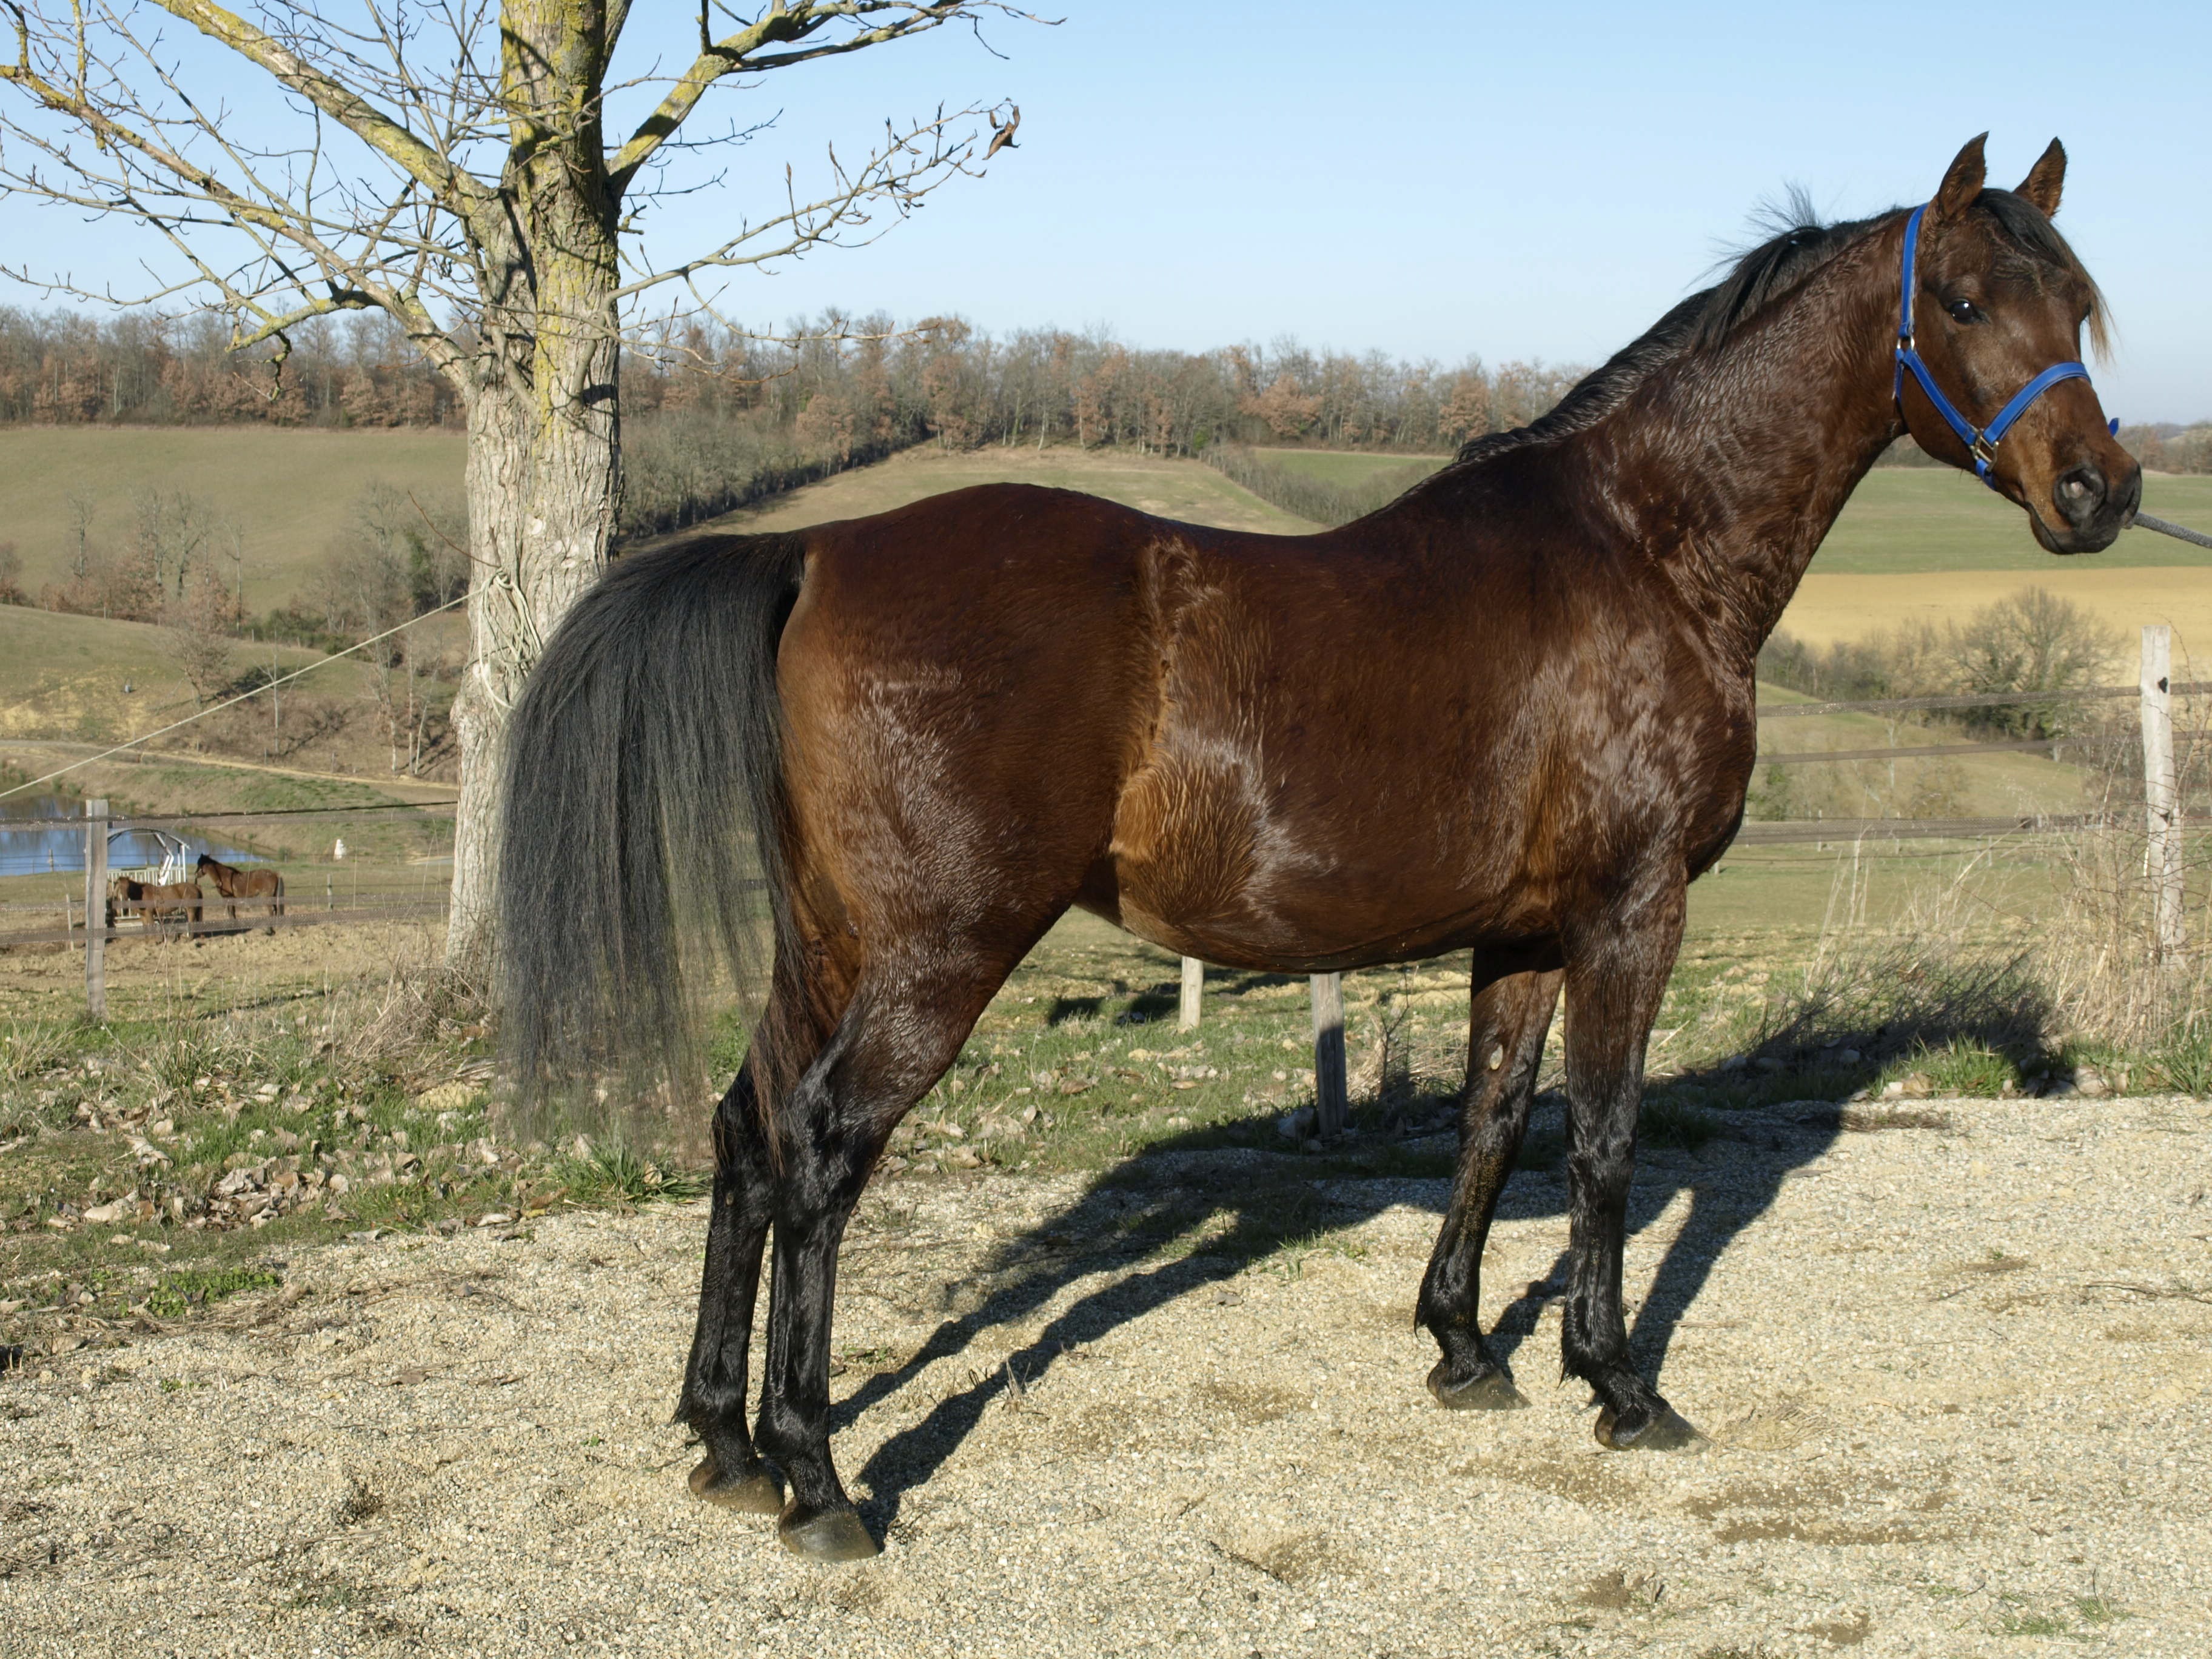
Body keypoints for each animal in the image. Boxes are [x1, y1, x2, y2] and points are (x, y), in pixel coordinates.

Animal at [107, 875, 202, 936]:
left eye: (128, 887)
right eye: (120, 887)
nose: (125, 898)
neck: (140, 895)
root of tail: (196, 887)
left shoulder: (149, 914)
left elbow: (152, 925)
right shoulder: (143, 916)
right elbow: (145, 928)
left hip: (190, 910)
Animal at [195, 854, 285, 927]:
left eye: (200, 863)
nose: (196, 874)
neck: (223, 877)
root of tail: (275, 874)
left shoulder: (229, 898)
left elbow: (231, 912)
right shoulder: (230, 899)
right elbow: (232, 912)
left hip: (268, 897)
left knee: (272, 910)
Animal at [499, 135, 2137, 1562]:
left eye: (2077, 301)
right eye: (1964, 301)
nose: (2100, 492)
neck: (1643, 550)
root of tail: (818, 549)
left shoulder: (1524, 928)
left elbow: (1493, 1118)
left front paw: (1466, 1347)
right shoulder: (1632, 908)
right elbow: (1605, 1139)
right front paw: (1620, 1385)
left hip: (830, 939)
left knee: (746, 1132)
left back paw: (720, 1439)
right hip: (934, 954)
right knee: (824, 1151)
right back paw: (817, 1477)